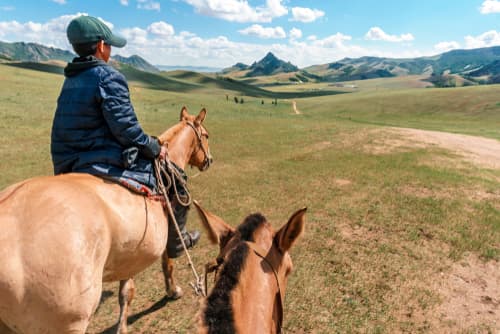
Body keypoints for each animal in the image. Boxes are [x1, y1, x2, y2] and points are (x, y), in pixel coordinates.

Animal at [0, 107, 211, 334]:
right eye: (206, 136)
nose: (209, 160)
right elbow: (166, 263)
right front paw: (173, 291)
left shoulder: (131, 254)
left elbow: (126, 292)